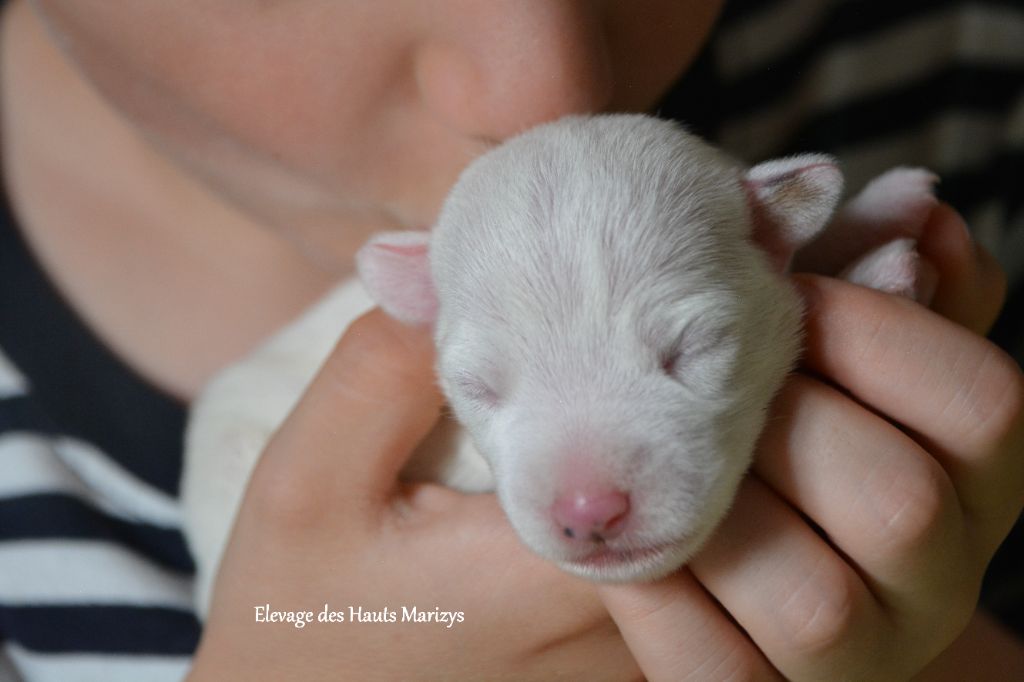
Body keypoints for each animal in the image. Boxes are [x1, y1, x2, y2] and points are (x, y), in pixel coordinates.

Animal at [182, 111, 937, 610]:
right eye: (477, 387)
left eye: (690, 350)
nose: (590, 513)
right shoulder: (447, 455)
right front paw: (883, 269)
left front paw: (880, 209)